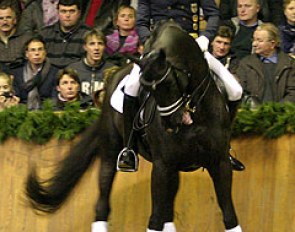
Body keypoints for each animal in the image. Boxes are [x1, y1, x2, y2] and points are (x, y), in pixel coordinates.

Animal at [26, 21, 243, 230]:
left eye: (170, 83)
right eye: (147, 89)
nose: (170, 123)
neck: (194, 113)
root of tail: (113, 76)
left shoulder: (219, 163)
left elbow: (229, 217)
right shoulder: (162, 166)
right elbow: (155, 220)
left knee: (167, 212)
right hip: (111, 152)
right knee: (103, 204)